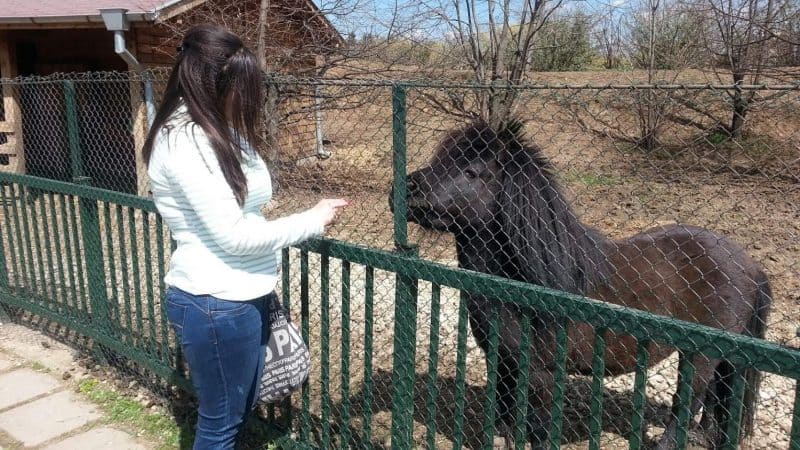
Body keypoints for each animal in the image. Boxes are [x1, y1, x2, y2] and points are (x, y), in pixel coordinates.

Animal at [398, 121, 768, 448]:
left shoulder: (542, 374)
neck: (532, 283)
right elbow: (504, 417)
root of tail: (750, 265)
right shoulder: (503, 363)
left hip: (700, 356)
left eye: (471, 171)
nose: (403, 190)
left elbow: (539, 429)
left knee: (687, 404)